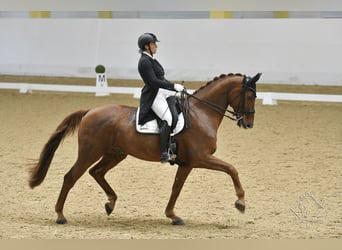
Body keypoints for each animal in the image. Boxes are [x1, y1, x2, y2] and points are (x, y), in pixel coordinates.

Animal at [28, 72, 262, 225]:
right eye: (251, 96)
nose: (249, 123)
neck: (202, 113)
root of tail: (90, 111)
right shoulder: (199, 158)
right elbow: (231, 169)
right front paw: (241, 202)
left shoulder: (187, 163)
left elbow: (176, 188)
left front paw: (172, 216)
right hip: (90, 152)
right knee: (71, 177)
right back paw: (60, 216)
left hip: (115, 154)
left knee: (97, 172)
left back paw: (110, 203)